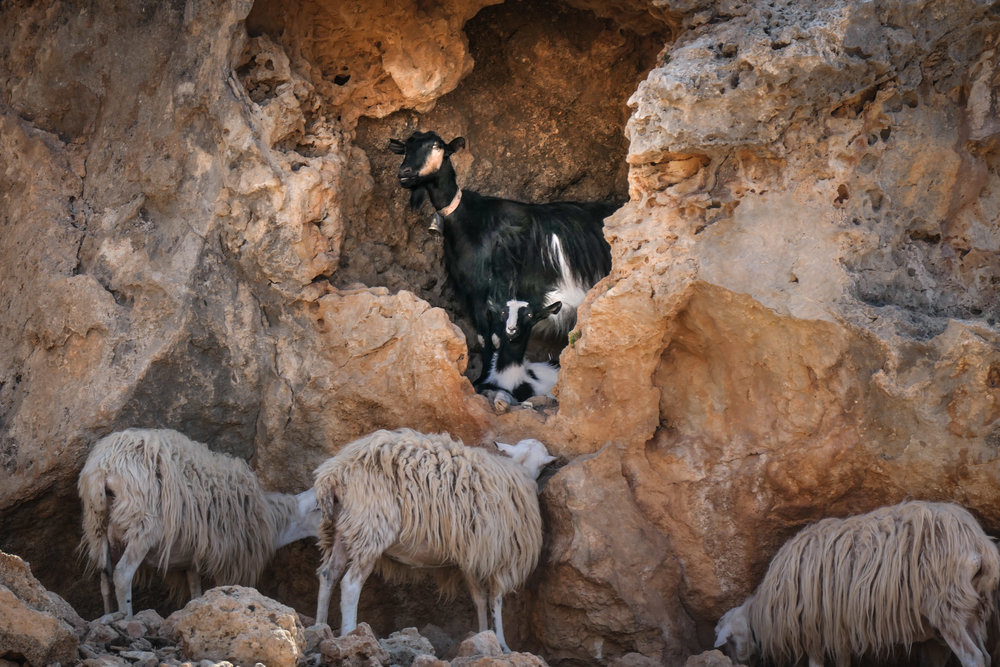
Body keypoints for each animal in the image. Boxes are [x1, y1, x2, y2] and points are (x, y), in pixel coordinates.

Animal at [79, 430, 320, 620]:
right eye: (320, 508)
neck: (272, 520)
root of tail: (105, 466)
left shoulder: (190, 555)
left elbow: (195, 587)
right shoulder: (230, 556)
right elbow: (223, 587)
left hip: (97, 527)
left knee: (104, 578)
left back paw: (108, 615)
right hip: (142, 524)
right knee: (122, 574)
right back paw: (126, 618)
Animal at [312, 428, 548, 652]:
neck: (519, 469)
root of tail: (335, 473)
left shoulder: (472, 555)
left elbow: (480, 598)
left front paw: (483, 634)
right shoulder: (500, 555)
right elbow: (495, 601)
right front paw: (502, 643)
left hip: (342, 530)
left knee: (328, 575)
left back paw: (320, 627)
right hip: (370, 527)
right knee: (350, 584)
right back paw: (350, 633)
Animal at [386, 132, 612, 380]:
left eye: (436, 146)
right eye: (406, 147)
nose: (404, 173)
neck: (472, 222)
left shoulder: (497, 289)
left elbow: (495, 338)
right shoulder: (474, 293)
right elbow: (483, 338)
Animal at [716, 500, 996, 667]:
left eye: (729, 643)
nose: (739, 664)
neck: (762, 610)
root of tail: (976, 541)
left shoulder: (814, 629)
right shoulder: (839, 631)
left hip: (946, 605)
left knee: (973, 657)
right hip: (971, 609)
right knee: (985, 656)